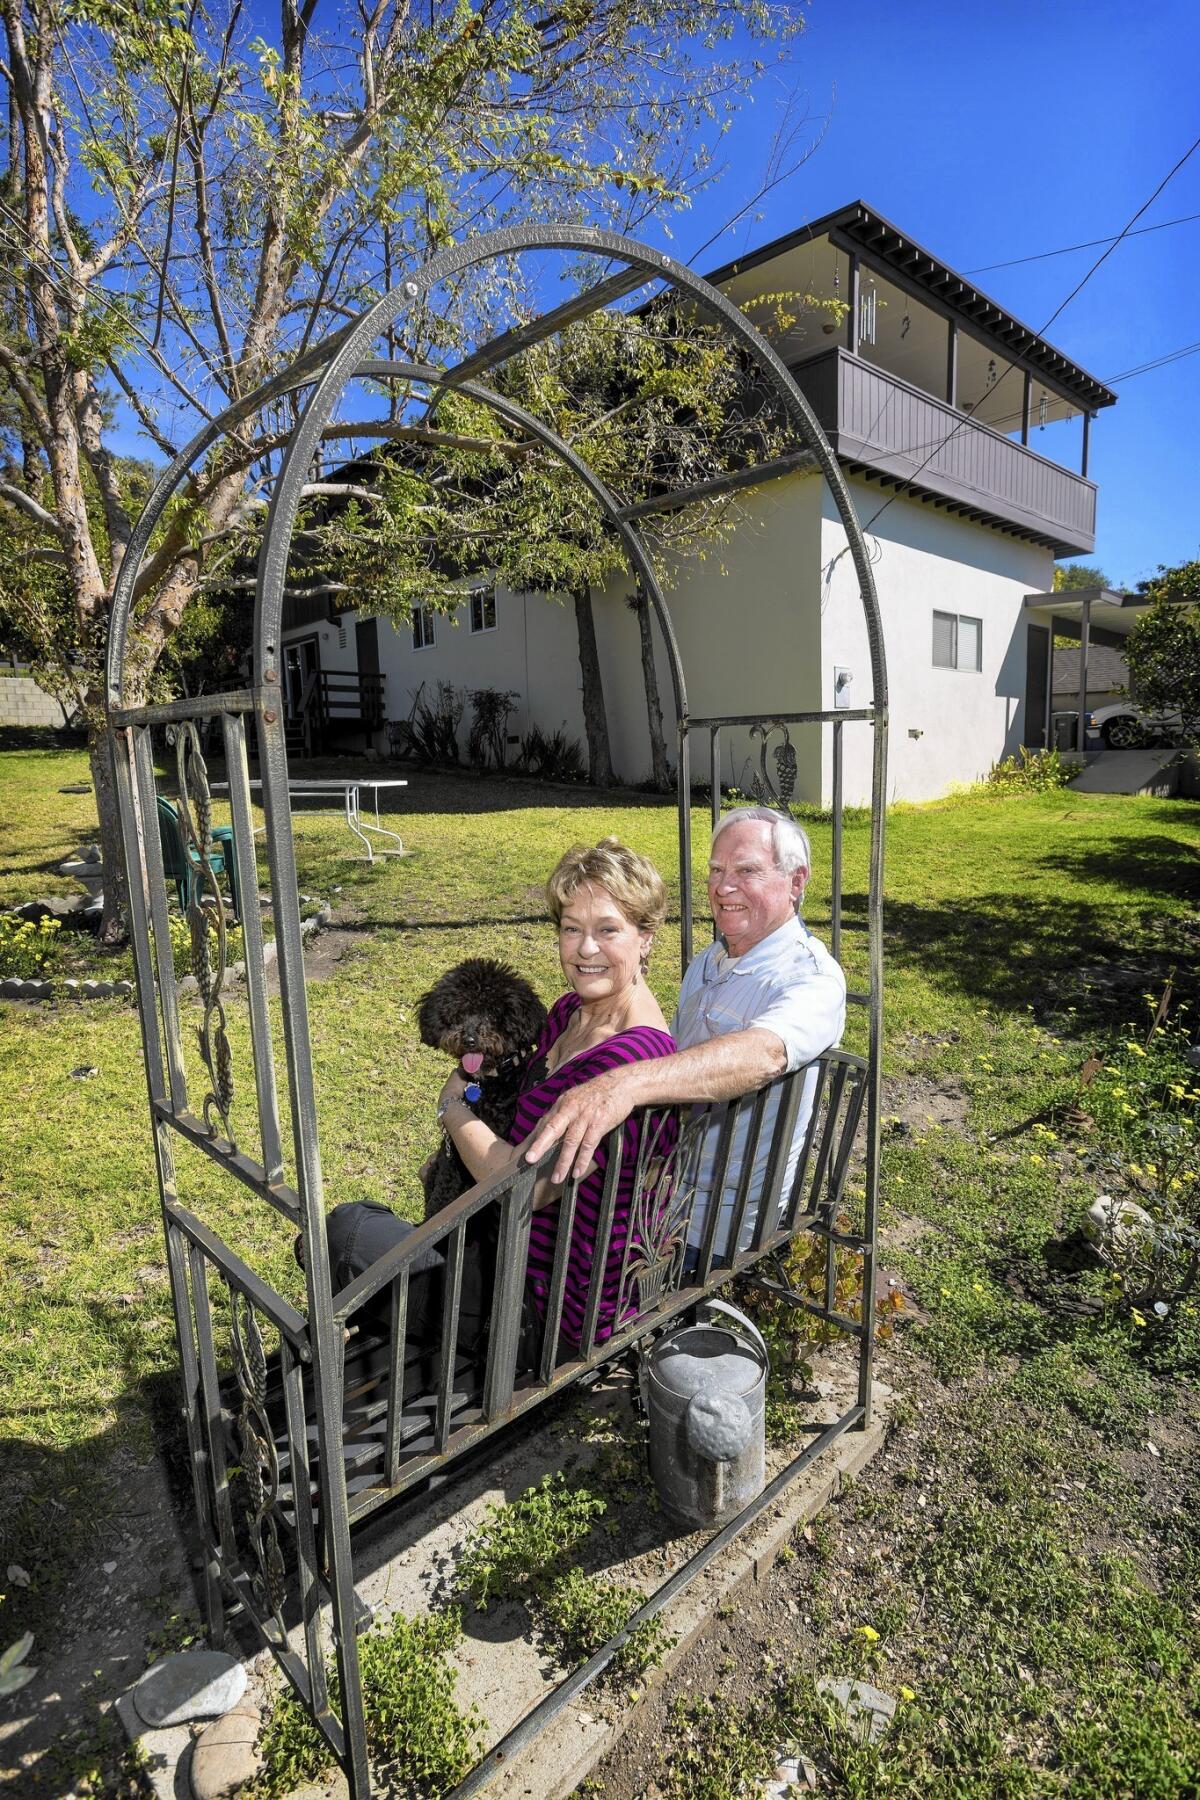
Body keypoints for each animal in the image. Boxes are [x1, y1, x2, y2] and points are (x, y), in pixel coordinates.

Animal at [417, 957, 550, 1224]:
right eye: (459, 1011)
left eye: (492, 1012)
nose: (469, 1040)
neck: (486, 1083)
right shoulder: (452, 1154)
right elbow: (444, 1194)